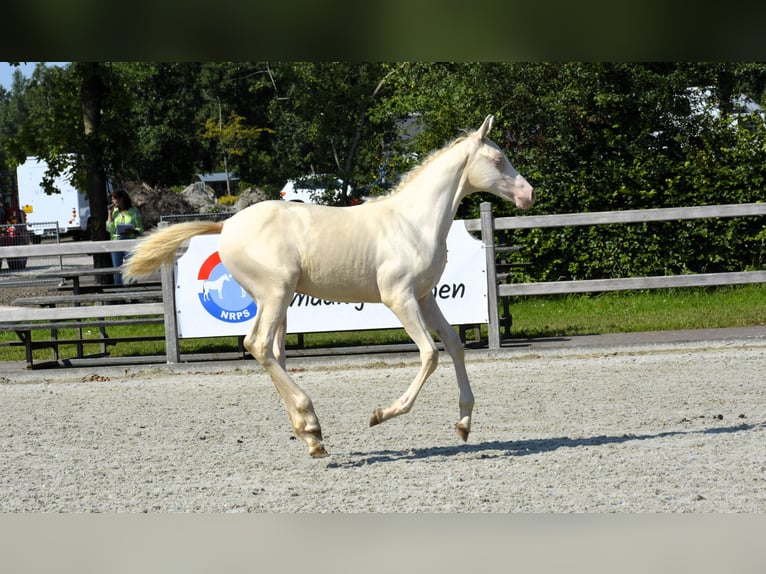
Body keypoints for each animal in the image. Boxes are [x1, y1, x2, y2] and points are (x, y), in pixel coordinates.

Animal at [124, 116, 536, 460]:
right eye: (498, 159)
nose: (528, 195)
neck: (412, 222)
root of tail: (226, 225)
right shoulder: (399, 297)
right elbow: (430, 354)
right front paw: (381, 414)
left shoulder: (424, 297)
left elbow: (454, 346)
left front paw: (463, 423)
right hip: (276, 293)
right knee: (258, 345)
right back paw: (311, 423)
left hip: (275, 301)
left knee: (273, 352)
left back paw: (311, 436)